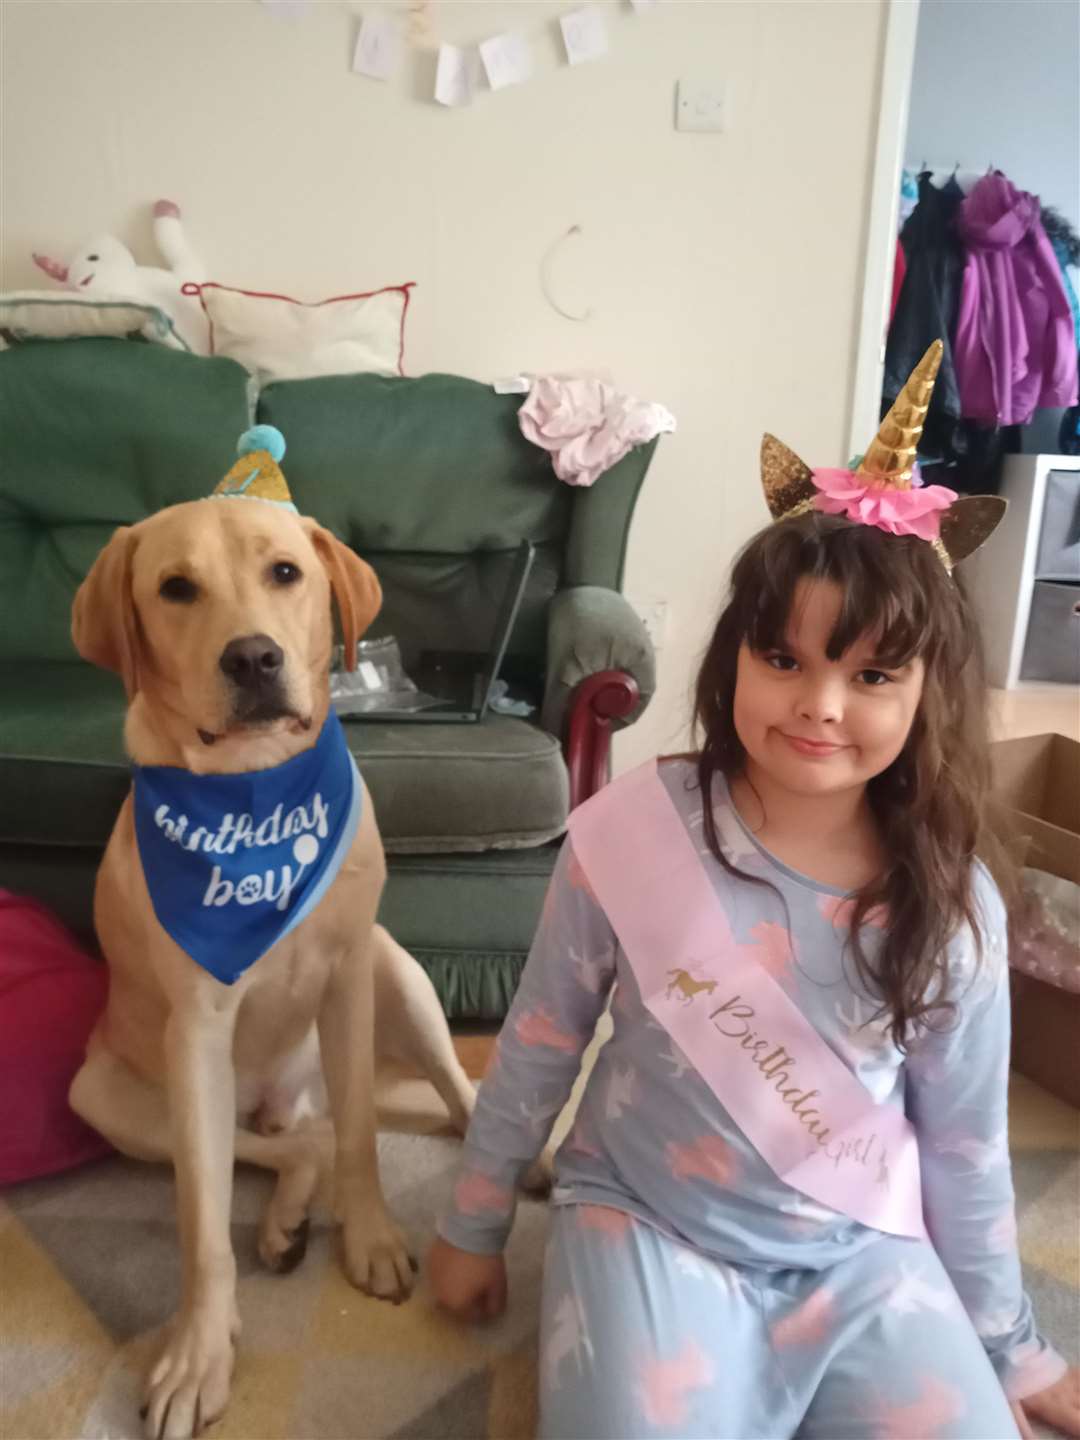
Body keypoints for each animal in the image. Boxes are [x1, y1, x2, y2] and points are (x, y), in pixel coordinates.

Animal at [64, 495, 478, 1440]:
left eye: (285, 572)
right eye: (176, 588)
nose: (253, 656)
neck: (254, 794)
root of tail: (285, 1097)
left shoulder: (350, 976)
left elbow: (363, 1136)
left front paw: (371, 1239)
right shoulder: (195, 1034)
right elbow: (203, 1224)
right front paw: (199, 1354)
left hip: (399, 973)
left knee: (441, 1092)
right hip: (106, 1094)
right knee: (286, 1149)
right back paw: (285, 1216)